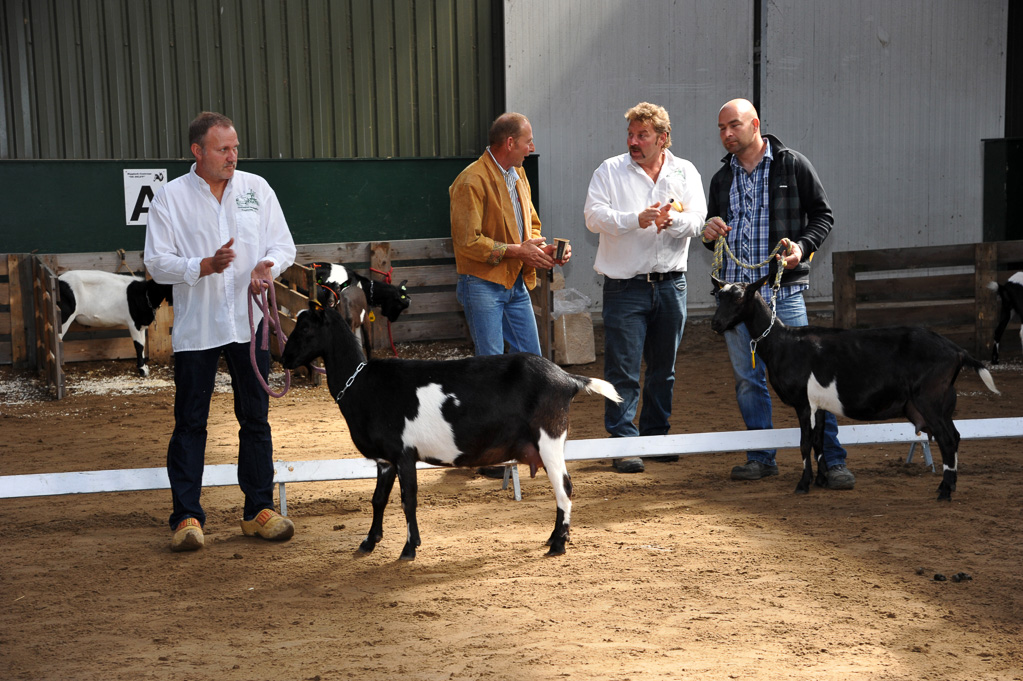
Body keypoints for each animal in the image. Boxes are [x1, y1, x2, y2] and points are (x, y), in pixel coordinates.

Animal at [276, 302, 617, 556]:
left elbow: (408, 499)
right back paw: (553, 538)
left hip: (550, 437)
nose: (284, 358)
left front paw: (409, 548)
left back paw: (558, 544)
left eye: (305, 328)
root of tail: (568, 379)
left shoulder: (404, 454)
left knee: (565, 488)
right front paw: (369, 542)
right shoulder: (386, 460)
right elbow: (378, 499)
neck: (362, 383)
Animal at [712, 265, 998, 498]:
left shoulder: (804, 404)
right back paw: (947, 486)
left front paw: (803, 485)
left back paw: (945, 491)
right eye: (718, 296)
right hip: (942, 401)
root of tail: (957, 351)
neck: (783, 342)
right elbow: (819, 441)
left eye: (739, 297)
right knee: (954, 436)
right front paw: (822, 480)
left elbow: (805, 443)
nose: (716, 323)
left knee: (948, 438)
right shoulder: (820, 405)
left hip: (930, 399)